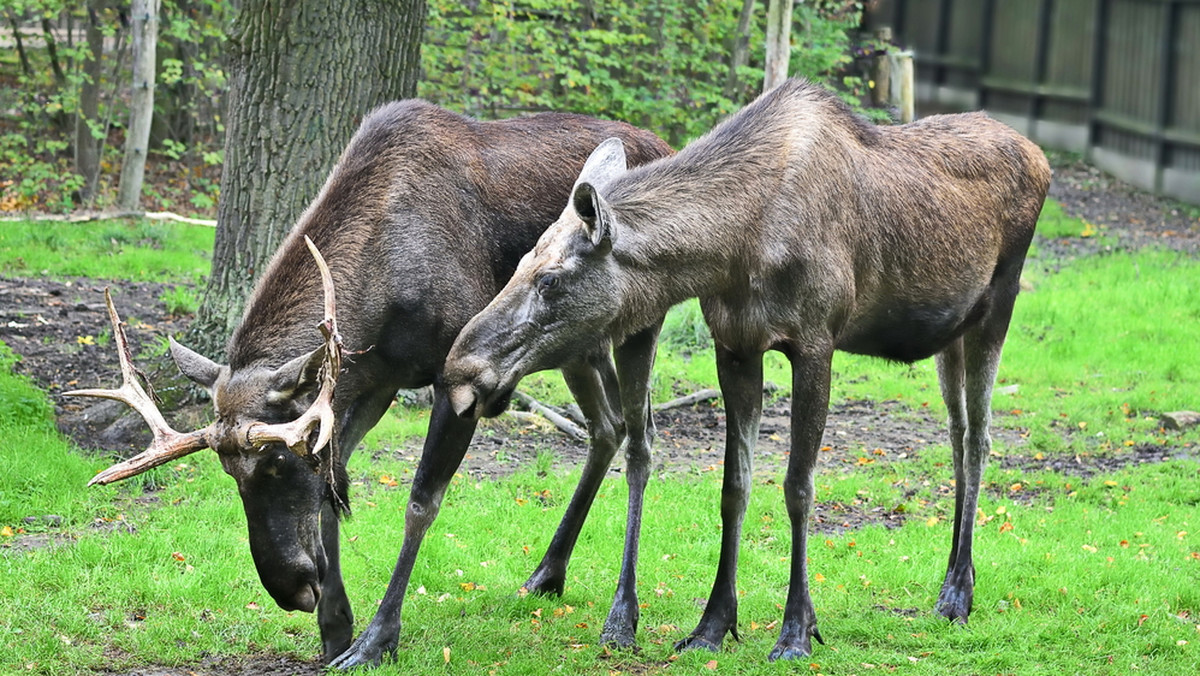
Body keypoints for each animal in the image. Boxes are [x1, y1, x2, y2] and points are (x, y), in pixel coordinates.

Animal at [68, 103, 676, 667]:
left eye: (277, 462)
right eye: (227, 471)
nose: (291, 589)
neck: (380, 297)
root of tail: (664, 143)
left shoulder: (458, 382)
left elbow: (421, 502)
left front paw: (377, 638)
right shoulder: (372, 382)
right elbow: (335, 485)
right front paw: (336, 628)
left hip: (636, 325)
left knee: (641, 435)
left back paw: (622, 612)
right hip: (577, 344)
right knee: (607, 427)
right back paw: (547, 572)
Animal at [446, 78, 1056, 662]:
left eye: (550, 280)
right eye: (521, 261)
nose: (462, 366)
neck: (735, 248)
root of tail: (1041, 158)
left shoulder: (816, 342)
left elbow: (798, 486)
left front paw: (795, 630)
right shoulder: (735, 345)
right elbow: (734, 487)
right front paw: (713, 625)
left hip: (997, 306)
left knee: (978, 438)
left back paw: (958, 593)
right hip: (950, 333)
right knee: (956, 433)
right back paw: (956, 577)